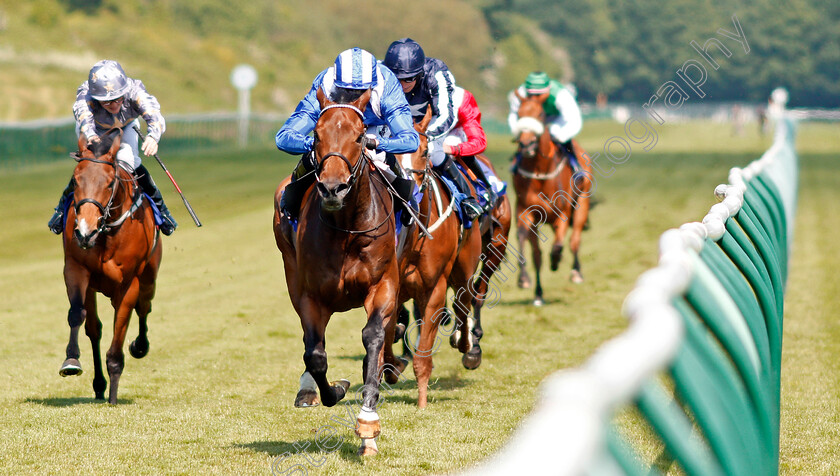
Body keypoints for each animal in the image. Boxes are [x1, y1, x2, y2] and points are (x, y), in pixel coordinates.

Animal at [58, 128, 162, 404]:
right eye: (75, 181)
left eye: (108, 183)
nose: (85, 232)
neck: (106, 233)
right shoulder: (76, 269)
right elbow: (77, 314)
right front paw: (71, 361)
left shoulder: (129, 284)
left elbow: (121, 326)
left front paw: (114, 396)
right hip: (94, 287)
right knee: (94, 329)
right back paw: (98, 385)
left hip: (149, 277)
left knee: (144, 308)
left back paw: (140, 346)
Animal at [274, 87, 406, 456]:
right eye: (316, 135)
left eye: (360, 136)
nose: (333, 188)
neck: (346, 228)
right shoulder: (311, 296)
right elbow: (316, 355)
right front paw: (336, 388)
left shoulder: (384, 284)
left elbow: (373, 336)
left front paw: (368, 423)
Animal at [398, 106, 482, 408]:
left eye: (423, 151)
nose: (409, 188)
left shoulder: (435, 286)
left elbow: (422, 355)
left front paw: (422, 402)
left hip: (465, 268)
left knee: (463, 303)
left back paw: (467, 344)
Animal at [512, 90, 592, 304]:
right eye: (519, 114)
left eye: (540, 114)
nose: (526, 144)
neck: (540, 171)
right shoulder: (525, 210)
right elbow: (524, 241)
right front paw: (524, 279)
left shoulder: (562, 213)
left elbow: (558, 245)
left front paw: (556, 261)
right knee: (538, 255)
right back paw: (539, 293)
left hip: (581, 204)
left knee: (574, 240)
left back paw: (576, 272)